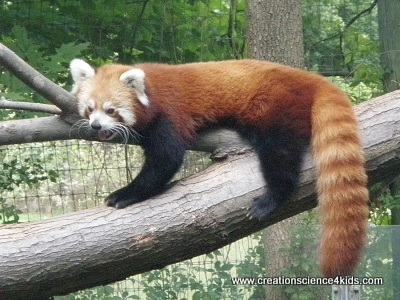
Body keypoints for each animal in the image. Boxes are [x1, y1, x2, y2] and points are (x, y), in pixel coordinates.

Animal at [69, 58, 368, 276]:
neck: (151, 88)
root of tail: (311, 78)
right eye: (90, 109)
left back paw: (271, 198)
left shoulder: (170, 115)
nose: (96, 126)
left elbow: (165, 160)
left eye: (111, 110)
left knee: (279, 155)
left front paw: (125, 194)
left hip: (276, 108)